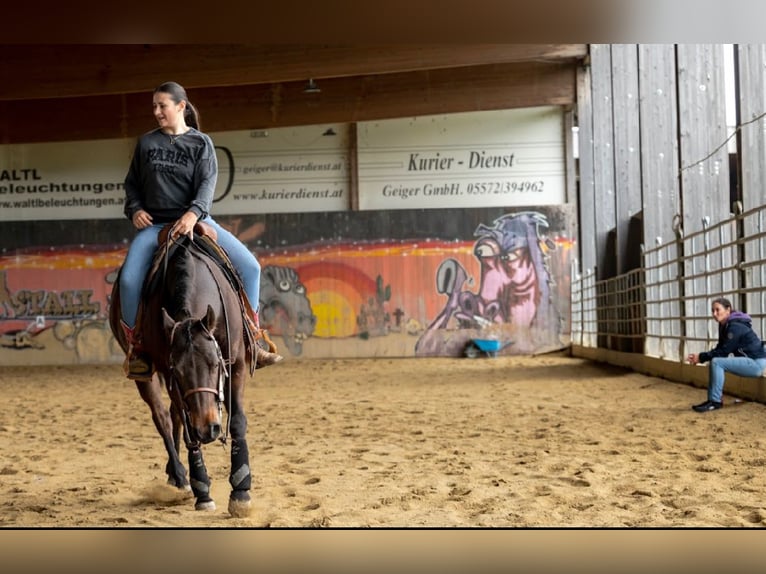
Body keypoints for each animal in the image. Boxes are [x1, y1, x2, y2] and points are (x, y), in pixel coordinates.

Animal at [109, 228, 256, 517]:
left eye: (215, 364)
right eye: (179, 371)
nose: (208, 428)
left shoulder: (236, 363)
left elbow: (237, 420)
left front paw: (241, 489)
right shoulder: (168, 373)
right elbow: (187, 429)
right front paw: (202, 489)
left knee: (174, 415)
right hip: (144, 375)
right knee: (163, 417)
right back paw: (179, 474)